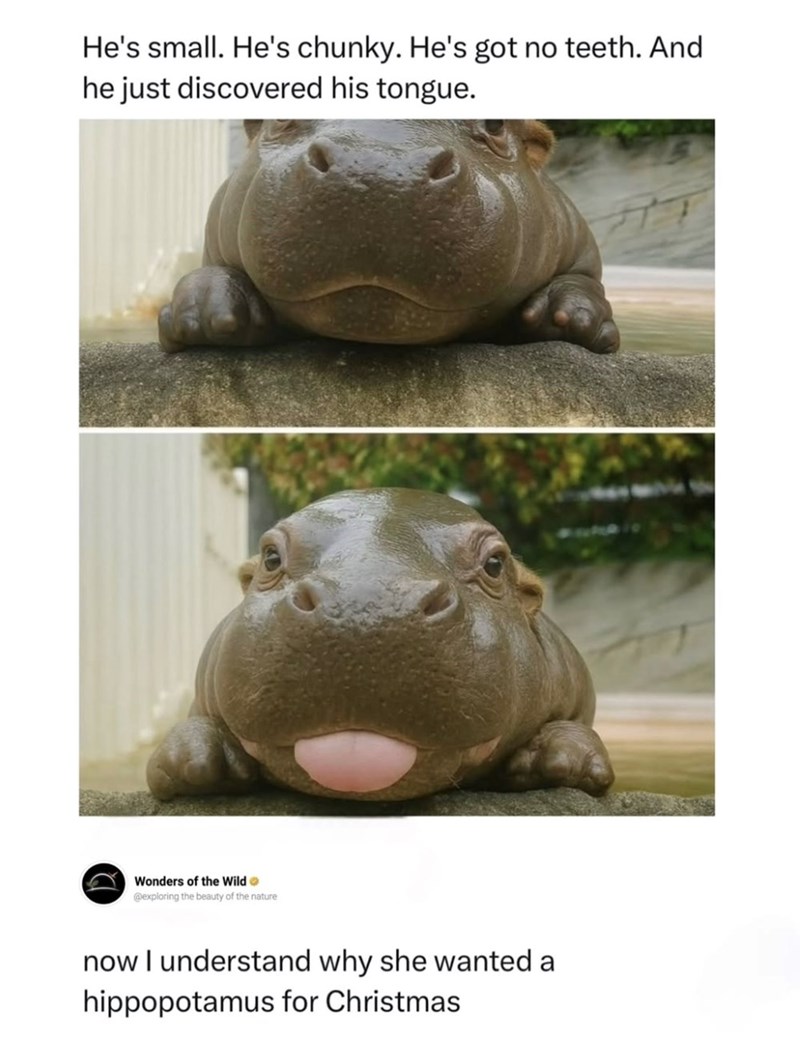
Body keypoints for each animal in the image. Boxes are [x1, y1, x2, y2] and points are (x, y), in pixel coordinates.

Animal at [158, 120, 619, 354]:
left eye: (494, 124)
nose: (376, 172)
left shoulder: (577, 239)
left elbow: (584, 279)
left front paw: (571, 317)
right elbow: (210, 270)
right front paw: (207, 311)